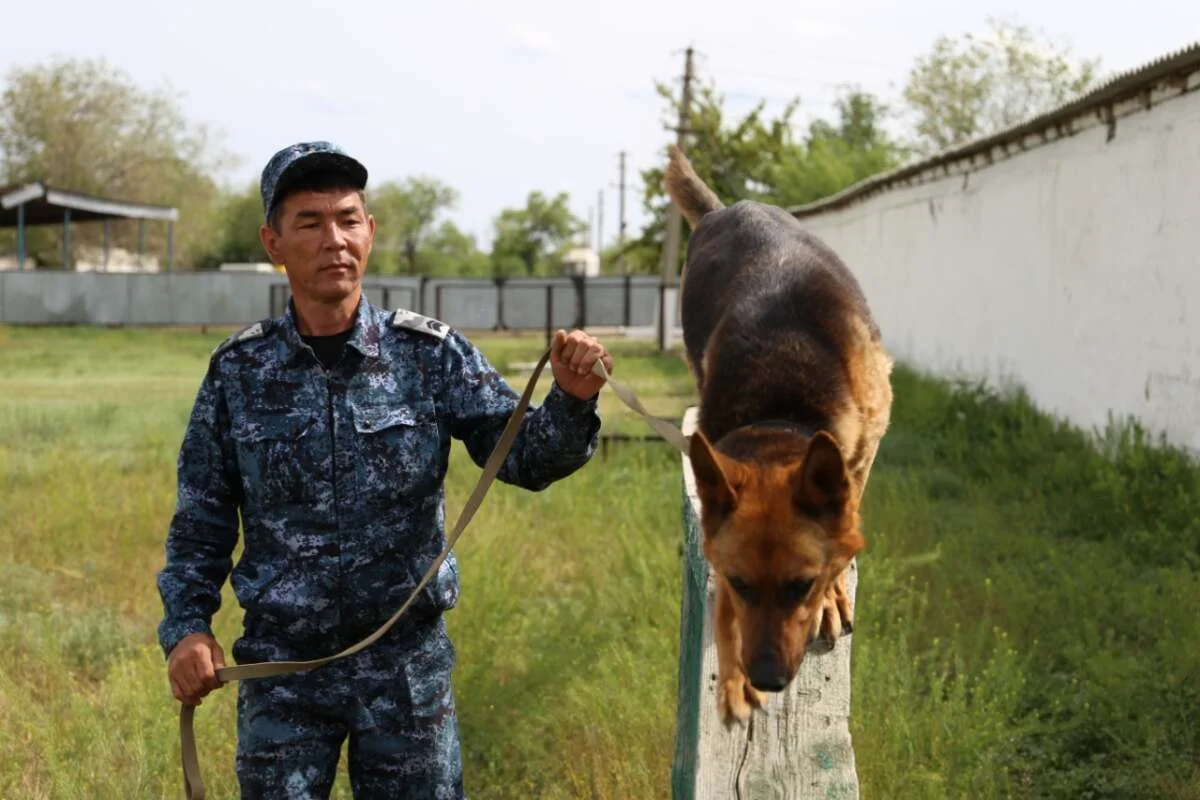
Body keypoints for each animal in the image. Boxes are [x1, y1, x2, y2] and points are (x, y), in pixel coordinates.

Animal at [667, 143, 892, 724]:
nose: (766, 678)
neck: (780, 409)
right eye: (739, 583)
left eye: (801, 586)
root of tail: (731, 206)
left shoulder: (866, 446)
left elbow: (846, 518)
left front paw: (833, 594)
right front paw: (730, 679)